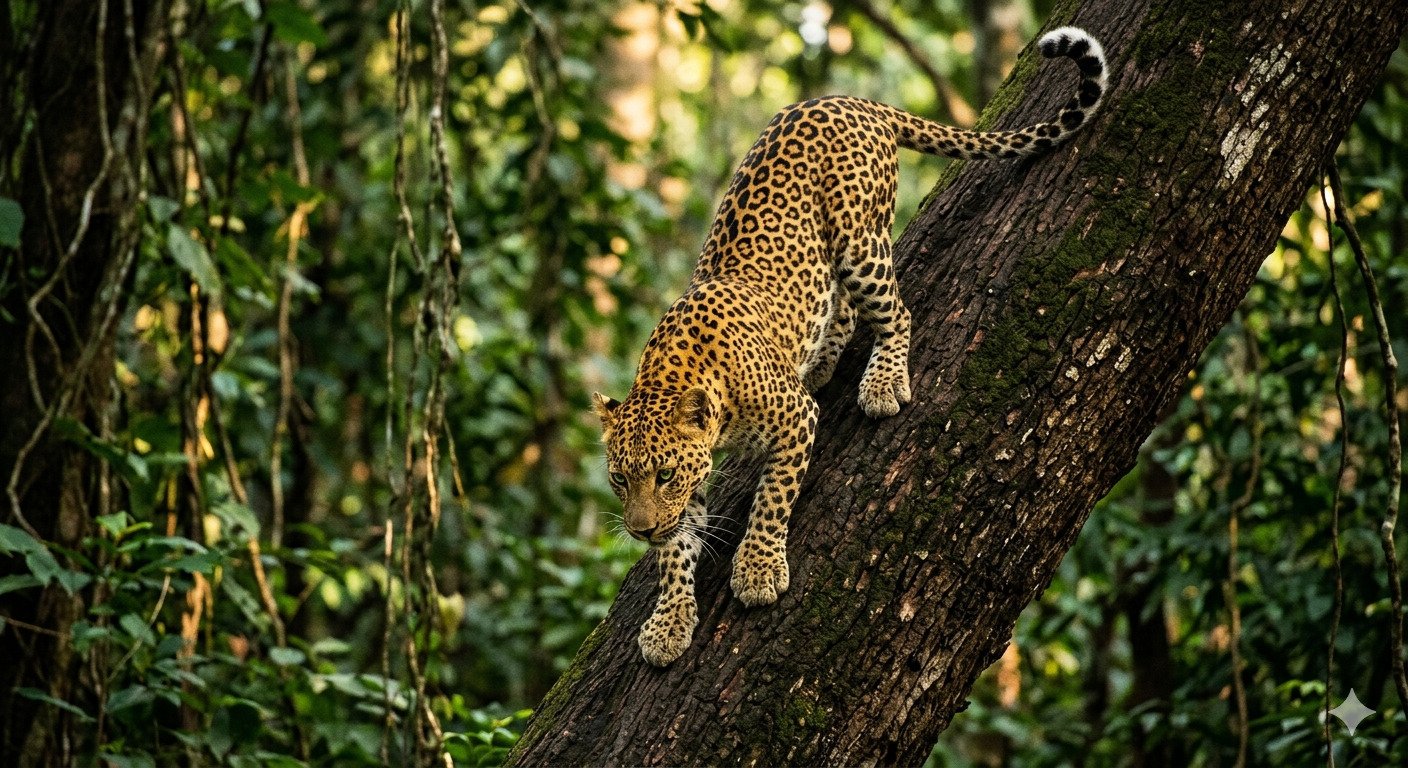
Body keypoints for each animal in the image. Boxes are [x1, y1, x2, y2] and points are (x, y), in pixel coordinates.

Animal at [592, 27, 1107, 666]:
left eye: (662, 474)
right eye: (620, 479)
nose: (637, 529)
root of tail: (854, 101)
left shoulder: (792, 420)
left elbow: (771, 500)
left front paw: (757, 569)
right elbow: (675, 551)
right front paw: (669, 619)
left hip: (860, 242)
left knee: (894, 313)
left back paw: (882, 382)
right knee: (835, 305)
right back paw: (823, 357)